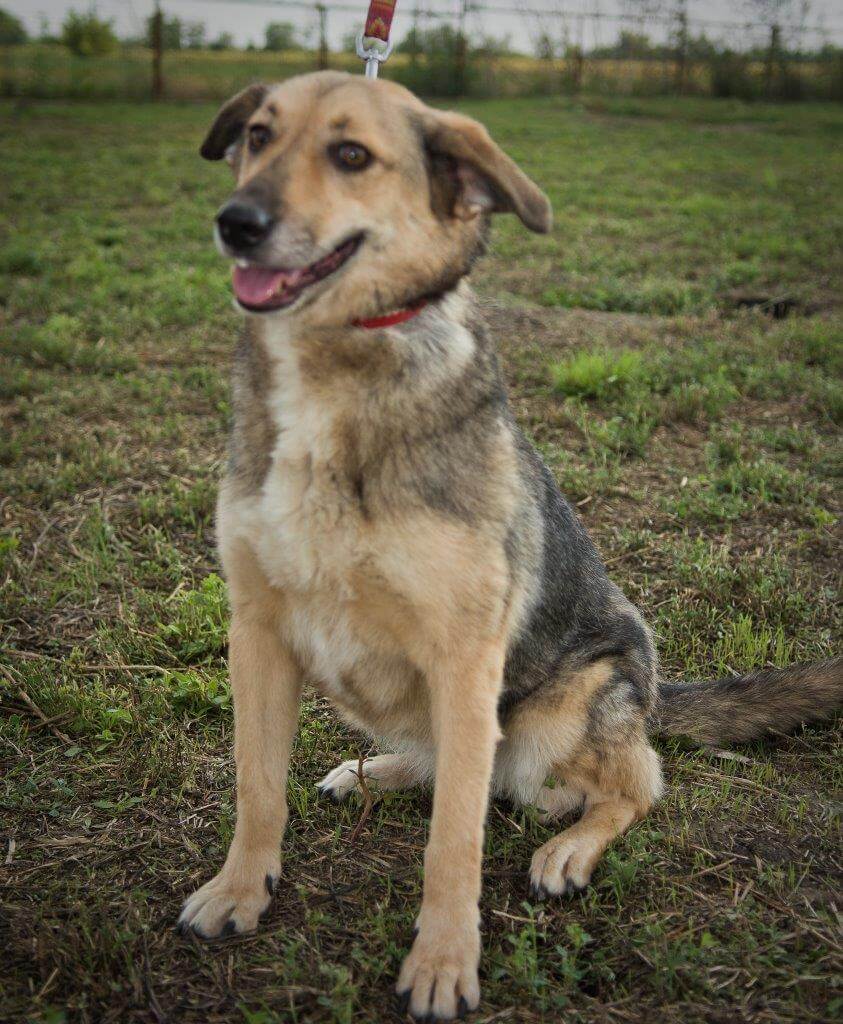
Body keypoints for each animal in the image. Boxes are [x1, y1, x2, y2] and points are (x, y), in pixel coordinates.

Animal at [177, 71, 842, 1020]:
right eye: (258, 137)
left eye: (351, 155)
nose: (235, 222)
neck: (336, 367)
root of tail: (654, 697)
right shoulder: (258, 633)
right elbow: (255, 786)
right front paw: (239, 891)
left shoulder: (463, 658)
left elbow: (452, 841)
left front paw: (443, 962)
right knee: (469, 769)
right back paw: (378, 771)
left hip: (570, 705)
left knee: (621, 785)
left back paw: (567, 845)